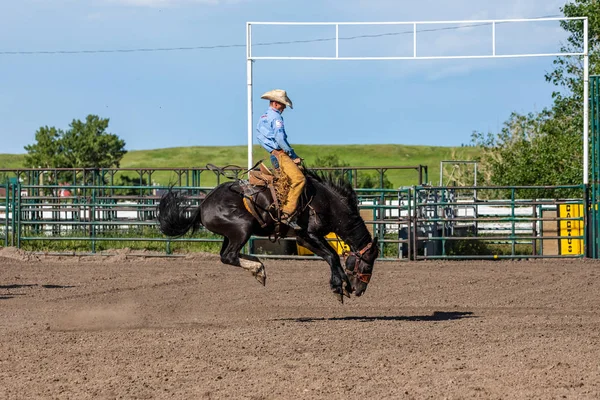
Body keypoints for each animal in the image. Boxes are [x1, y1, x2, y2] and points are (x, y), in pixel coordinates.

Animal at [157, 170, 378, 304]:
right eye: (368, 262)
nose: (360, 290)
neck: (326, 202)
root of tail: (203, 204)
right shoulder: (305, 236)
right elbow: (332, 255)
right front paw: (340, 287)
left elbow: (332, 256)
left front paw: (344, 285)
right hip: (242, 228)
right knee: (229, 256)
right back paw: (258, 269)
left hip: (231, 233)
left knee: (226, 255)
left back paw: (258, 267)